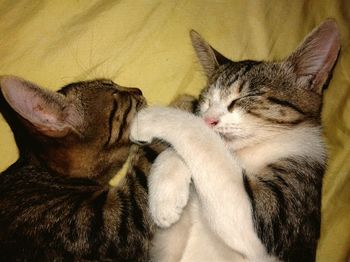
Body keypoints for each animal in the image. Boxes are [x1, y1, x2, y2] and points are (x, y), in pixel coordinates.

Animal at [130, 18, 340, 262]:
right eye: (206, 100)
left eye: (245, 97)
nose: (208, 119)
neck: (247, 153)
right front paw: (166, 189)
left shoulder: (275, 218)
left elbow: (205, 141)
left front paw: (150, 118)